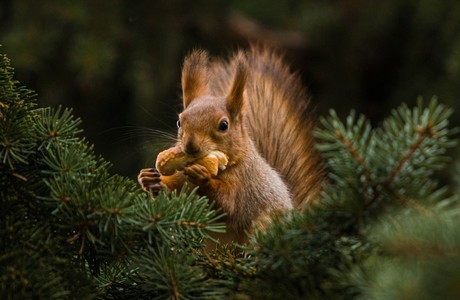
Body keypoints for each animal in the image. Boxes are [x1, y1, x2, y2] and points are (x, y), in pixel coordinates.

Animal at [137, 45, 324, 246]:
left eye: (224, 125)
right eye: (179, 121)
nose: (190, 146)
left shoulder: (243, 181)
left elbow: (228, 204)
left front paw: (203, 177)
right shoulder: (182, 179)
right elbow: (174, 192)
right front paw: (149, 179)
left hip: (264, 225)